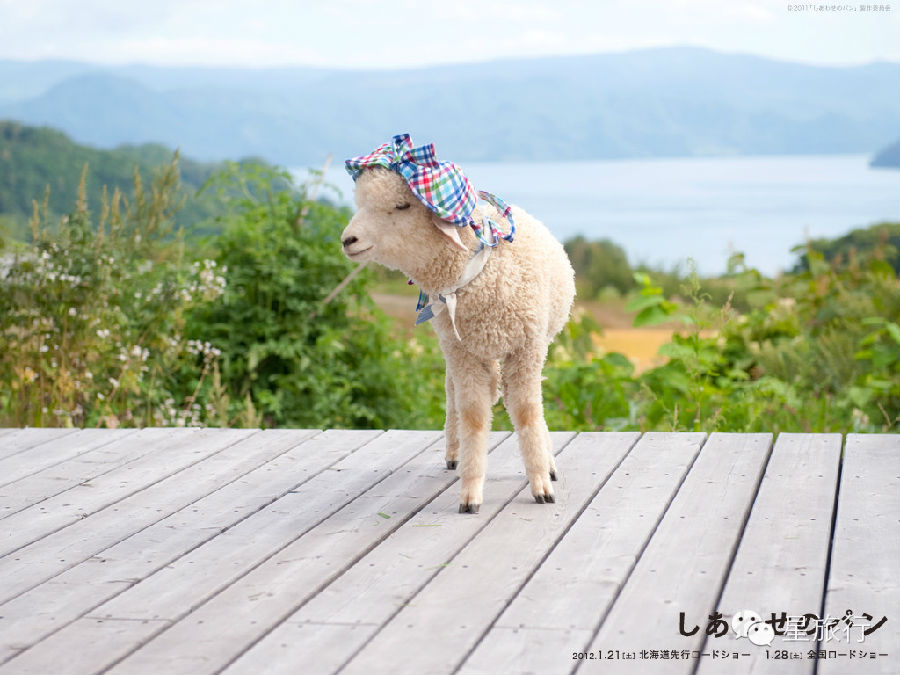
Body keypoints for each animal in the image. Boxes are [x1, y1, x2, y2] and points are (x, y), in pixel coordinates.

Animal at [338, 137, 576, 516]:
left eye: (402, 205)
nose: (349, 240)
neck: (480, 272)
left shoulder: (526, 348)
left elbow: (526, 411)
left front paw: (541, 483)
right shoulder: (463, 353)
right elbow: (474, 415)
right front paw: (470, 491)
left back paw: (547, 459)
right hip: (454, 346)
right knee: (453, 395)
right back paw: (454, 453)